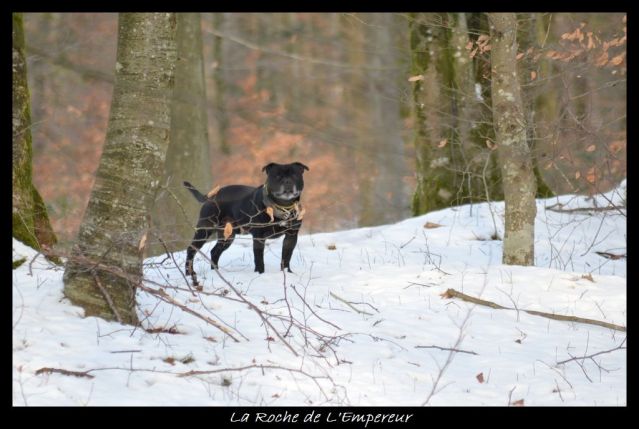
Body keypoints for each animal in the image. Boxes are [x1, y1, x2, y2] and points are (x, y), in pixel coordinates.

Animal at [182, 160, 310, 284]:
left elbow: (286, 257)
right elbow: (259, 259)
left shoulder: (291, 236)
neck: (282, 207)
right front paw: (260, 274)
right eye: (277, 176)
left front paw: (287, 273)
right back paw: (190, 273)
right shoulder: (259, 237)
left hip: (227, 236)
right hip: (205, 229)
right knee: (191, 249)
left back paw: (216, 272)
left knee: (215, 252)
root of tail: (210, 196)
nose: (287, 181)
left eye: (295, 175)